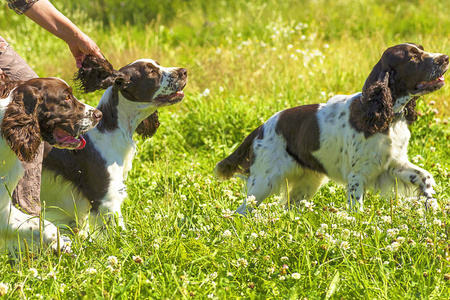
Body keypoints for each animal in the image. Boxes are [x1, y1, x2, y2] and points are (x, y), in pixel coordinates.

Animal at [216, 43, 448, 214]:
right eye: (413, 57)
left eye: (422, 49)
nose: (445, 58)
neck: (387, 117)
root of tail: (261, 127)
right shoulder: (357, 175)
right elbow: (357, 209)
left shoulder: (393, 164)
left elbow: (426, 177)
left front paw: (433, 207)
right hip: (264, 182)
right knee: (241, 211)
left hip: (307, 184)